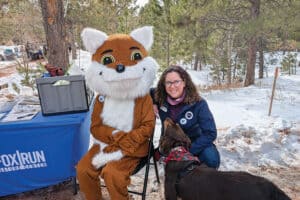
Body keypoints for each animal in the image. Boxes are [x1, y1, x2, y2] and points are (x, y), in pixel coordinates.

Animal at [159, 118, 290, 199]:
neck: (178, 151)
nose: (167, 117)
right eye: (177, 125)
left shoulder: (170, 194)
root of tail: (270, 188)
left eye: (171, 125)